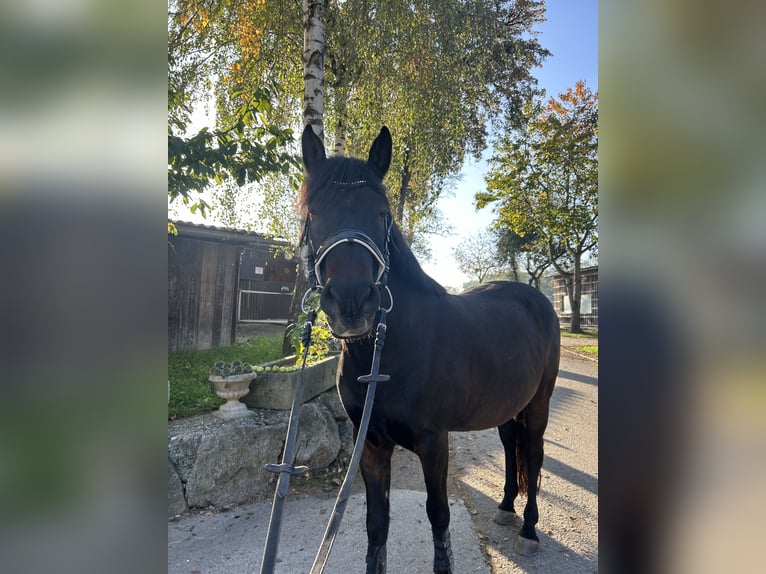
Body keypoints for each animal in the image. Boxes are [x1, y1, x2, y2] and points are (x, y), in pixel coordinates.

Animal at [299, 125, 560, 574]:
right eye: (313, 213)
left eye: (382, 213)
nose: (351, 302)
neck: (382, 359)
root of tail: (537, 299)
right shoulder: (370, 444)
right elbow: (376, 521)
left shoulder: (435, 441)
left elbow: (439, 513)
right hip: (508, 405)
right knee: (511, 446)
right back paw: (506, 507)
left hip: (539, 403)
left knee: (532, 453)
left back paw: (528, 529)